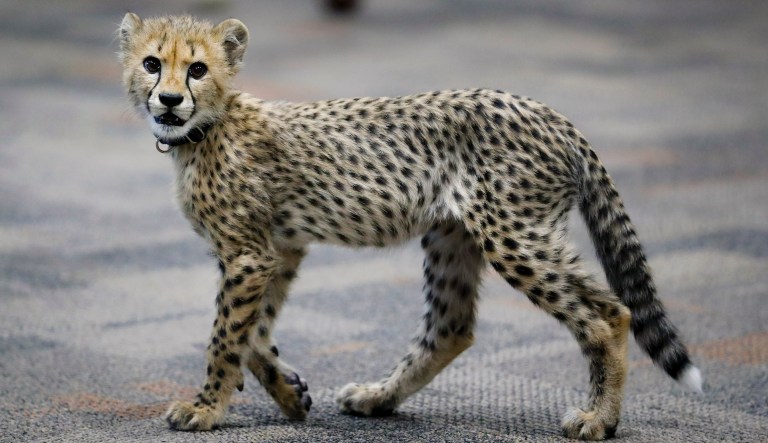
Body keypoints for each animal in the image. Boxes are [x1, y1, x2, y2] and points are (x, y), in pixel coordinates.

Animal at [118, 13, 703, 440]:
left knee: (605, 314)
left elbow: (225, 335)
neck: (205, 128)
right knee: (460, 325)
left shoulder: (249, 253)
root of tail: (547, 110)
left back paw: (599, 419)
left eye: (196, 69)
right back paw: (377, 397)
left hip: (513, 235)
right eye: (151, 63)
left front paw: (206, 409)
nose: (168, 100)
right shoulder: (278, 248)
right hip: (458, 235)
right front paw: (290, 392)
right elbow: (255, 333)